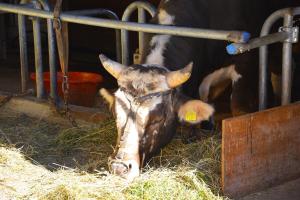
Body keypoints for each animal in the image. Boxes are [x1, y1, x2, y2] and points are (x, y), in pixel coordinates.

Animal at [98, 0, 298, 180]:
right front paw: (197, 131)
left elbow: (238, 108)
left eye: (157, 119)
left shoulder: (245, 65)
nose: (119, 167)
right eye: (116, 115)